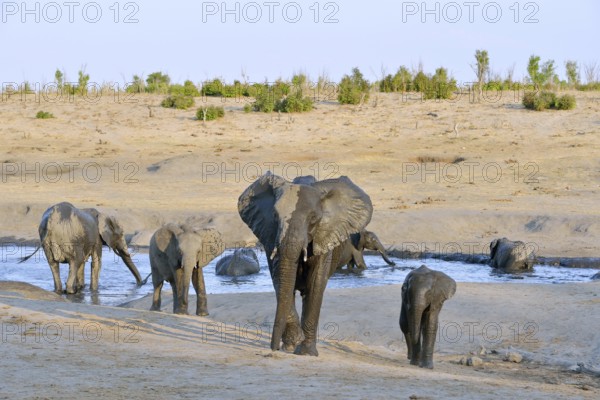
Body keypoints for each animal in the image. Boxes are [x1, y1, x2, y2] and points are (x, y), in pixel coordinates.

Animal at [238, 173, 370, 354]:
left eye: (313, 218)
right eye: (274, 216)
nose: (274, 349)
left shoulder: (324, 236)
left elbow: (315, 284)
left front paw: (306, 352)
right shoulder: (271, 234)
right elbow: (280, 279)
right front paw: (293, 342)